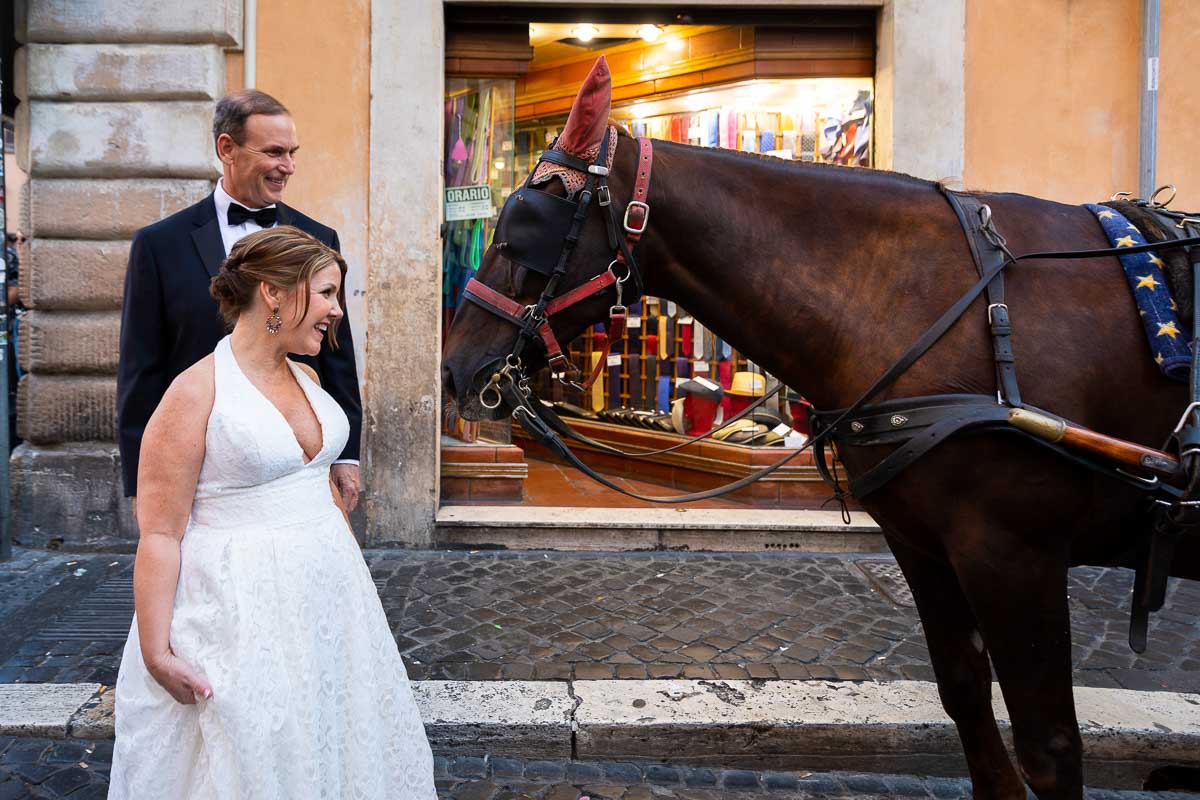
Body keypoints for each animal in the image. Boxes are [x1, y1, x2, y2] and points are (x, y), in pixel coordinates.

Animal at [441, 59, 1200, 796]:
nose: (453, 368)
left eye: (527, 224)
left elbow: (1050, 749)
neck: (932, 300)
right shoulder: (929, 547)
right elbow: (965, 701)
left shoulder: (1016, 555)